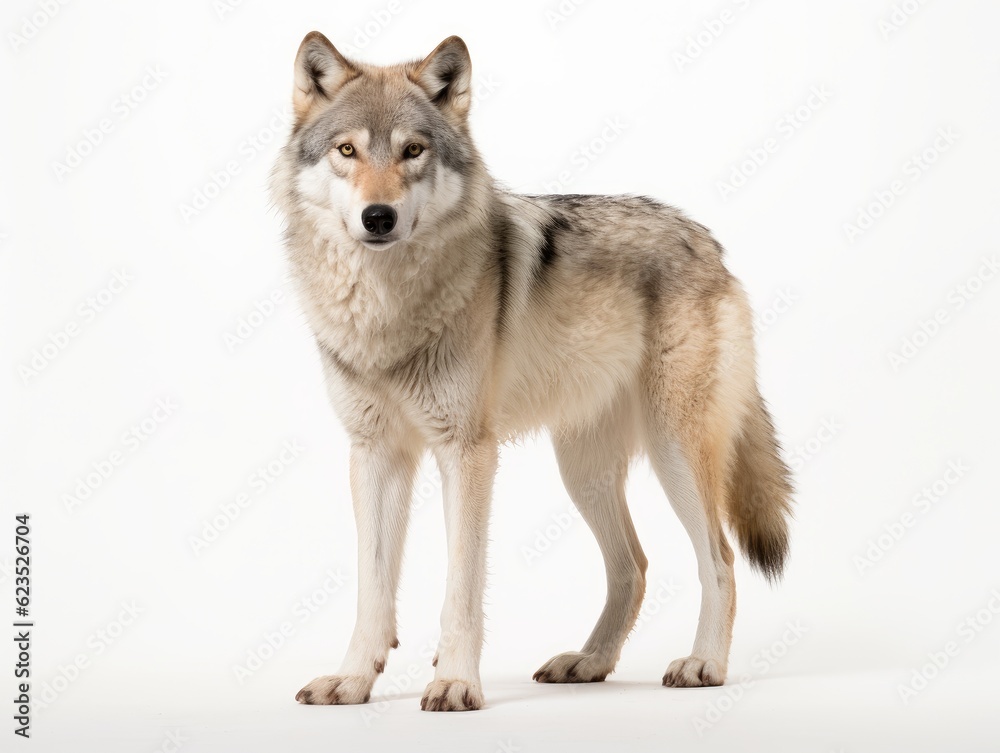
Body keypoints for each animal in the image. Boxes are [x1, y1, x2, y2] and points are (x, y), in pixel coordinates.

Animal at [270, 30, 792, 712]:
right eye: (347, 150)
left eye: (412, 150)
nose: (377, 216)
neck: (387, 310)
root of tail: (709, 243)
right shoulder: (375, 453)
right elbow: (372, 590)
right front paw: (353, 680)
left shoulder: (467, 451)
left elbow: (461, 589)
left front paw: (455, 683)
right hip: (582, 470)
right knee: (633, 565)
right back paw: (589, 662)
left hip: (675, 451)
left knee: (720, 558)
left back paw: (703, 663)